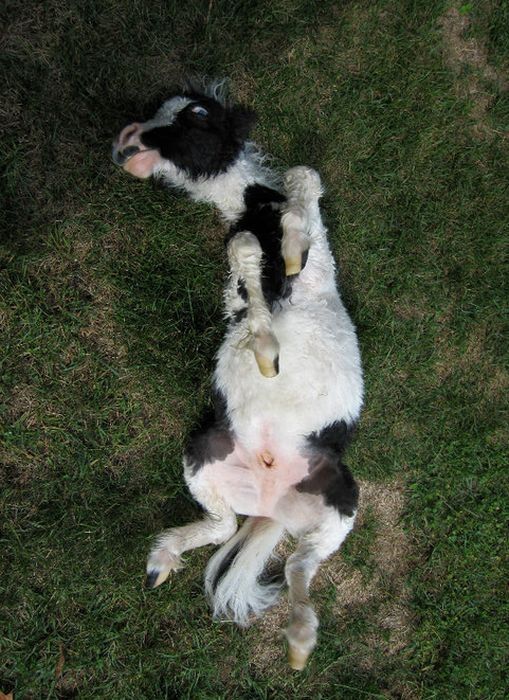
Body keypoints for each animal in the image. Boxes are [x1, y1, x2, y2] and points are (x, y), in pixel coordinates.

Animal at [113, 85, 364, 668]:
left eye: (196, 113)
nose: (128, 144)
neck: (253, 209)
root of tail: (271, 503)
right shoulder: (245, 276)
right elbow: (243, 255)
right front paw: (266, 350)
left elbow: (304, 179)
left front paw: (293, 249)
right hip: (202, 454)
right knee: (231, 527)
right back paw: (162, 560)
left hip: (343, 501)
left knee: (297, 565)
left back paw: (299, 639)